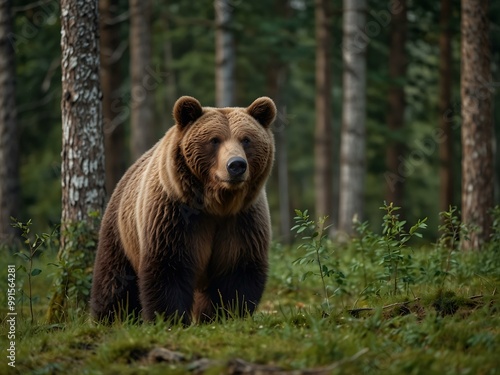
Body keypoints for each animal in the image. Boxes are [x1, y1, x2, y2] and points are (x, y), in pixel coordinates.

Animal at [91, 95, 278, 324]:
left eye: (246, 139)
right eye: (215, 140)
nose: (236, 165)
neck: (217, 204)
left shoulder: (242, 220)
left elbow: (238, 271)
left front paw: (227, 315)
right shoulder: (174, 215)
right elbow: (169, 267)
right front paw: (170, 318)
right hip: (121, 230)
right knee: (114, 280)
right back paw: (108, 317)